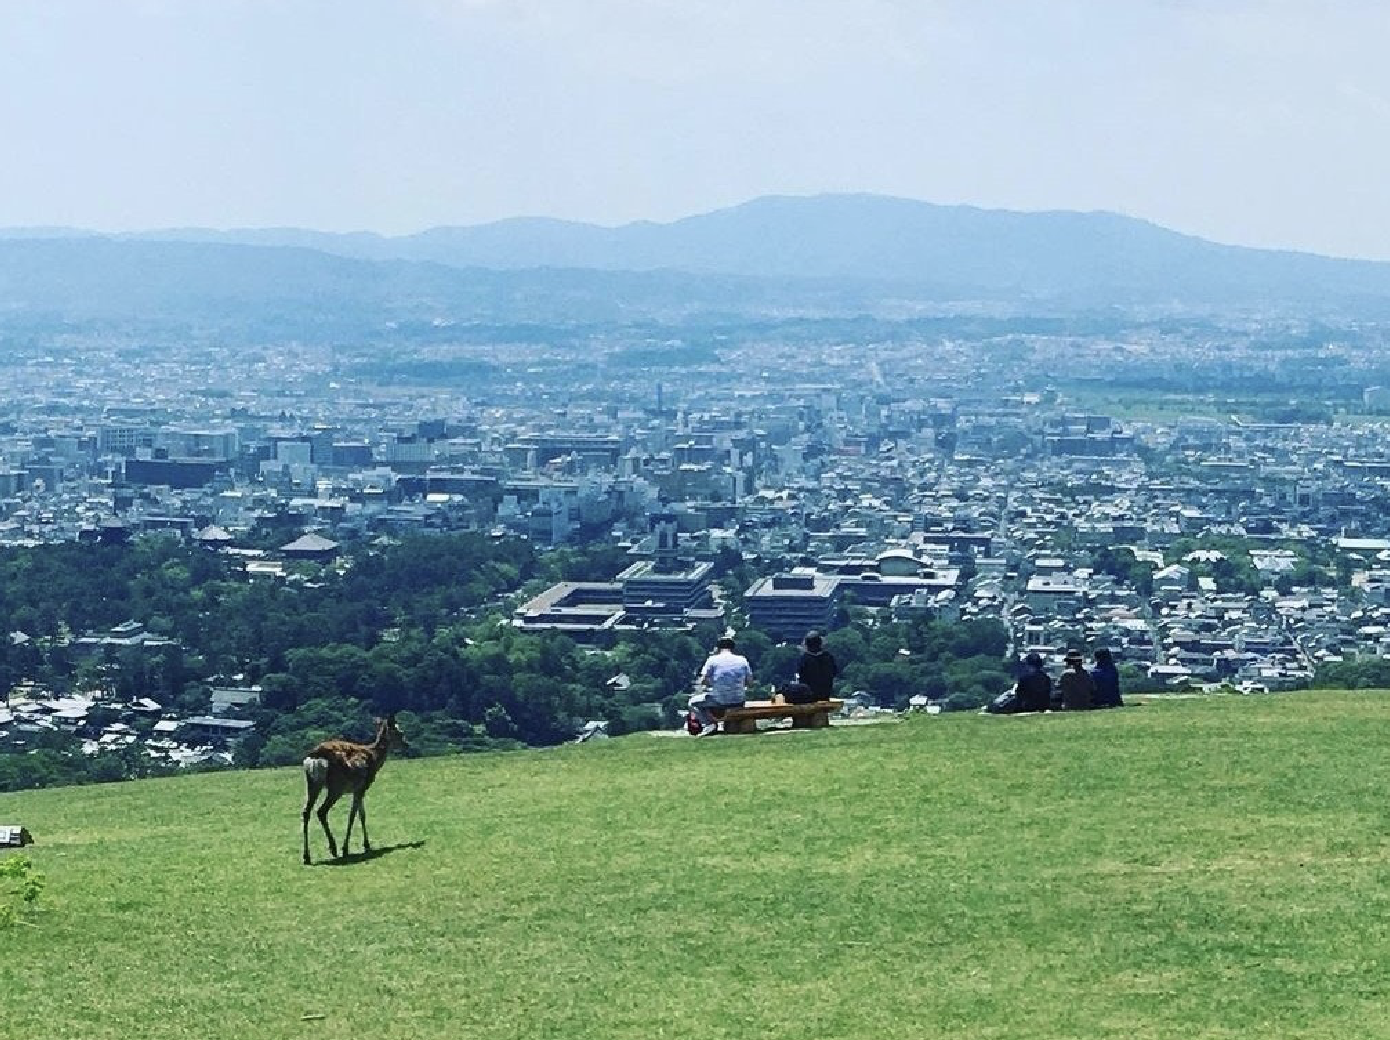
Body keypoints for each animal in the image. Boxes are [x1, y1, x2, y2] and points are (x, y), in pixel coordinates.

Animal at [303, 717, 405, 862]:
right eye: (400, 732)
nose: (406, 744)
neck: (375, 758)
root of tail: (315, 757)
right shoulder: (362, 786)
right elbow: (353, 815)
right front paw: (346, 848)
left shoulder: (358, 790)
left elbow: (362, 815)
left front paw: (366, 845)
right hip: (336, 786)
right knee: (321, 811)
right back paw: (333, 848)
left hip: (312, 783)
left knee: (306, 812)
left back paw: (307, 856)